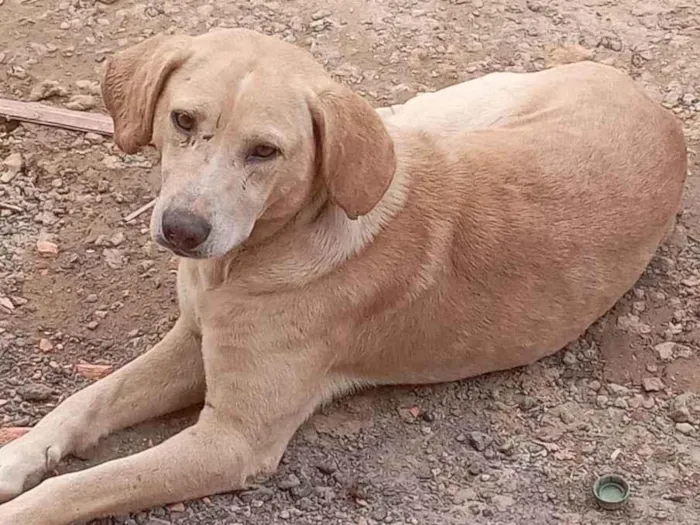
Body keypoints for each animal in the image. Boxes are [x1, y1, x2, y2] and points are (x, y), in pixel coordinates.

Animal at [0, 29, 688, 524]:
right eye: (183, 121)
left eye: (265, 152)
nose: (182, 231)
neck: (248, 258)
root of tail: (648, 99)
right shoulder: (191, 344)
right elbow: (84, 401)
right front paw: (15, 458)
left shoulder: (232, 441)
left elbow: (81, 487)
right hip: (439, 115)